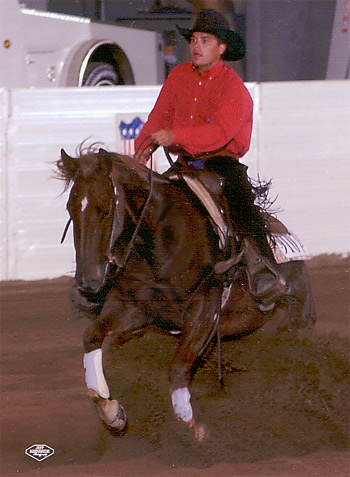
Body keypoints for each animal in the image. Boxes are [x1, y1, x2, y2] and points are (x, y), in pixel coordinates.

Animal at [56, 148, 314, 438]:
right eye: (71, 209)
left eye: (106, 209)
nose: (87, 283)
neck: (161, 238)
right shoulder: (134, 307)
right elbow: (92, 337)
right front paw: (111, 412)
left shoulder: (205, 308)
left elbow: (178, 368)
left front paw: (192, 432)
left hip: (288, 326)